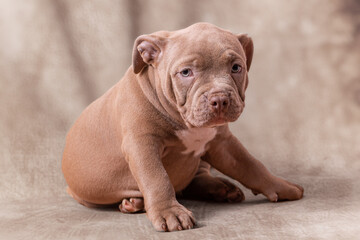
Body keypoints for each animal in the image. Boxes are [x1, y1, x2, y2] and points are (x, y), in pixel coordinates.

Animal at [62, 23, 304, 232]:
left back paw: (221, 189)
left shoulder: (222, 144)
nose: (220, 99)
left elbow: (251, 165)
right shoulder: (142, 145)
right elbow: (156, 178)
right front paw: (170, 212)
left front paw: (280, 186)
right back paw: (134, 203)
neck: (183, 119)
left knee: (196, 178)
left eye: (236, 68)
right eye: (186, 72)